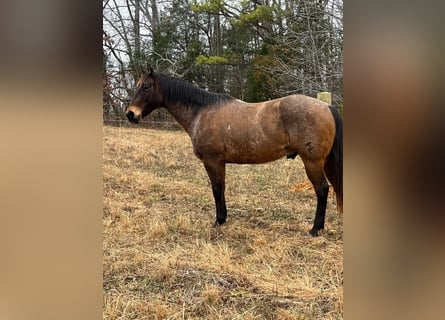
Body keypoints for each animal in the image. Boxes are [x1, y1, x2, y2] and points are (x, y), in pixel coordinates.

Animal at [125, 65, 344, 235]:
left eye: (146, 87)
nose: (130, 114)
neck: (202, 111)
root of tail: (326, 106)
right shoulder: (220, 162)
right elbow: (221, 188)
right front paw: (223, 218)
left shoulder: (212, 161)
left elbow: (216, 189)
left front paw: (218, 221)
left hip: (312, 162)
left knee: (322, 190)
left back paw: (315, 229)